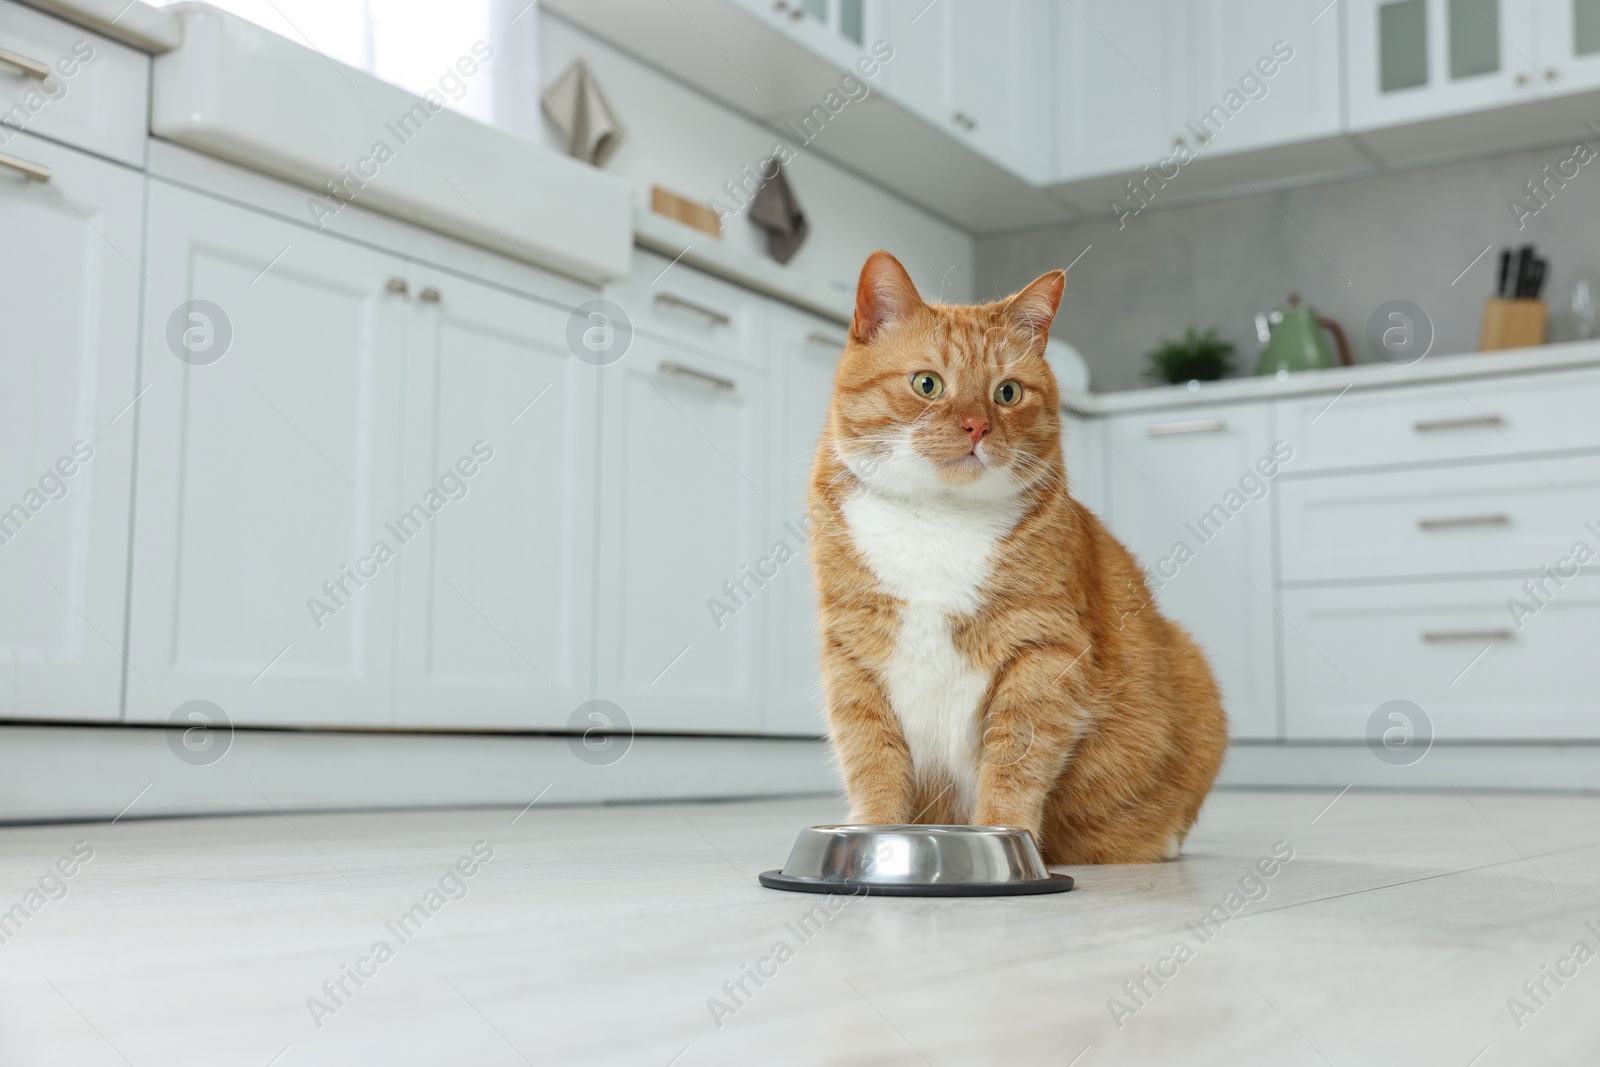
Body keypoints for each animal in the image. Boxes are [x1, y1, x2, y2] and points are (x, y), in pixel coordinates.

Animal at [806, 252, 1228, 870]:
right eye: (927, 384)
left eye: (1007, 393)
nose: (977, 425)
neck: (938, 518)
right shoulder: (853, 655)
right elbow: (872, 760)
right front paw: (874, 839)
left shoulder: (1045, 652)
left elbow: (1015, 761)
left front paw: (1005, 835)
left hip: (1194, 670)